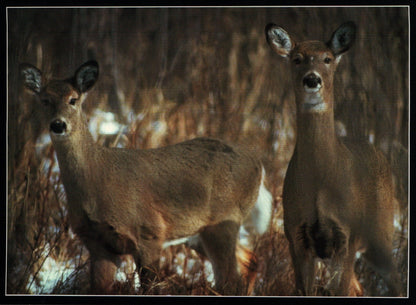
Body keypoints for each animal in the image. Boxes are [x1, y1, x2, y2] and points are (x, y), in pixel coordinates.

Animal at [20, 60, 272, 294]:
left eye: (73, 99)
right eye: (44, 100)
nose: (58, 124)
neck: (97, 180)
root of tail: (259, 165)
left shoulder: (150, 232)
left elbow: (150, 286)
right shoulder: (98, 244)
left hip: (224, 221)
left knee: (230, 281)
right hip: (199, 234)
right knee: (249, 261)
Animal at [266, 21, 400, 294]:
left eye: (327, 59)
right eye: (297, 58)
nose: (311, 78)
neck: (320, 180)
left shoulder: (347, 236)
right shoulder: (296, 235)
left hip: (381, 232)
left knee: (395, 280)